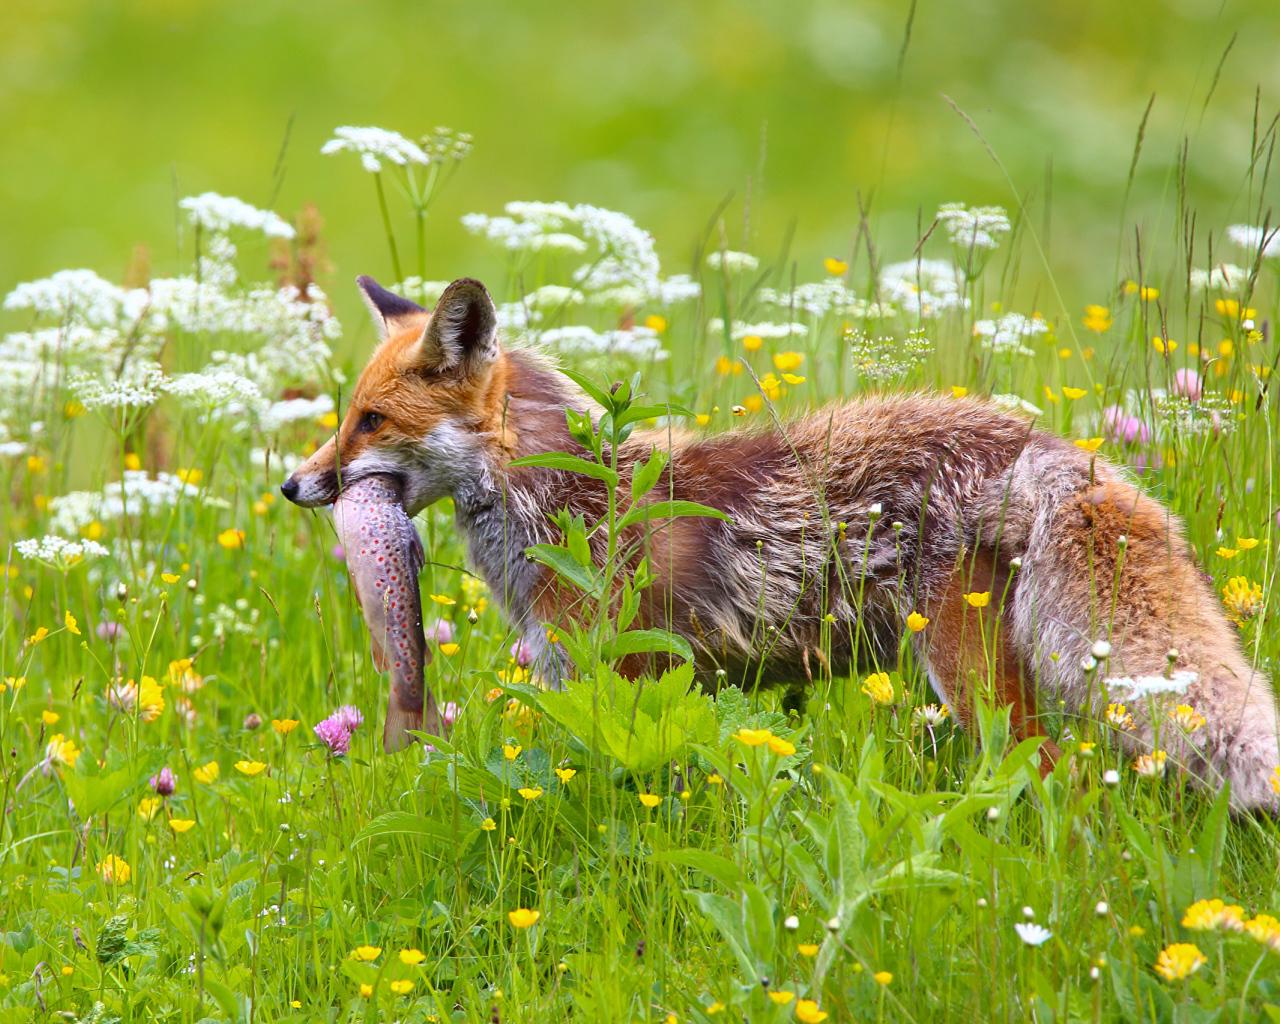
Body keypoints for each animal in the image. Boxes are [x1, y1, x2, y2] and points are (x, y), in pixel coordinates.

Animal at [282, 276, 1280, 814]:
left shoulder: (617, 674)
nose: (294, 485)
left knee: (1058, 778)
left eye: (370, 422)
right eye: (343, 419)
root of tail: (1045, 448)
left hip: (970, 679)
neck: (562, 500)